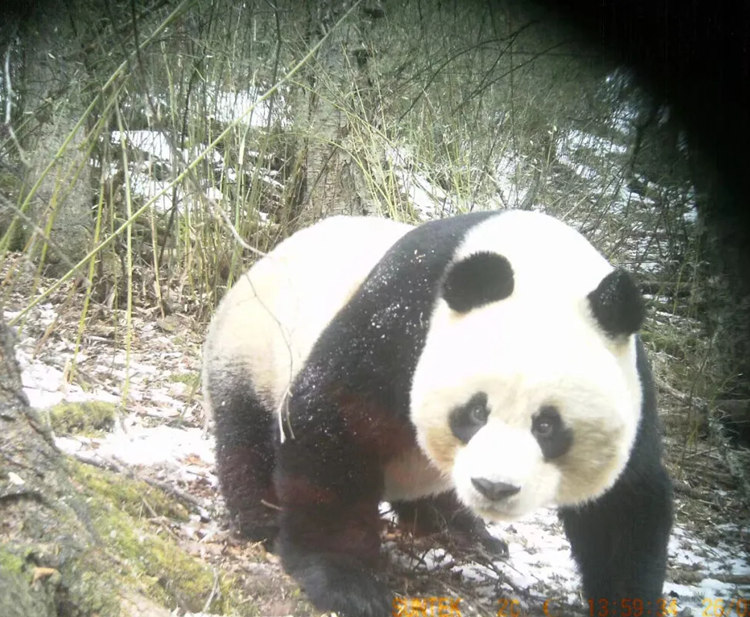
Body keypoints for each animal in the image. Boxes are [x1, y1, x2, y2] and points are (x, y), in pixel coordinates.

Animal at [201, 211, 676, 616]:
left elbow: (625, 506)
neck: (541, 266)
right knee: (246, 432)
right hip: (252, 345)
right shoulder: (401, 317)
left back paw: (465, 531)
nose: (495, 487)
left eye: (547, 426)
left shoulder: (632, 384)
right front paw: (345, 580)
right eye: (475, 412)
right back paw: (261, 518)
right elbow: (332, 420)